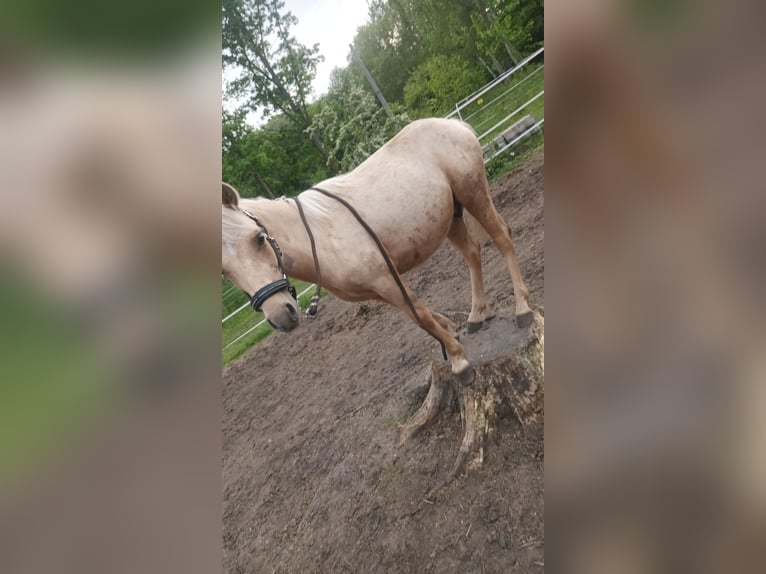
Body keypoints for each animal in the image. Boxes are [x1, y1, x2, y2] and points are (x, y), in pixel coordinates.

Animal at [221, 118, 532, 378]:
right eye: (224, 271)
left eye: (259, 238)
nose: (280, 315)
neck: (320, 238)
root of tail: (453, 124)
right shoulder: (378, 287)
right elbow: (423, 316)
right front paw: (452, 333)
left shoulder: (385, 279)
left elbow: (420, 315)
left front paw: (458, 360)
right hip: (451, 216)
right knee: (472, 253)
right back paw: (478, 315)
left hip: (474, 194)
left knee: (503, 238)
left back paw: (522, 310)